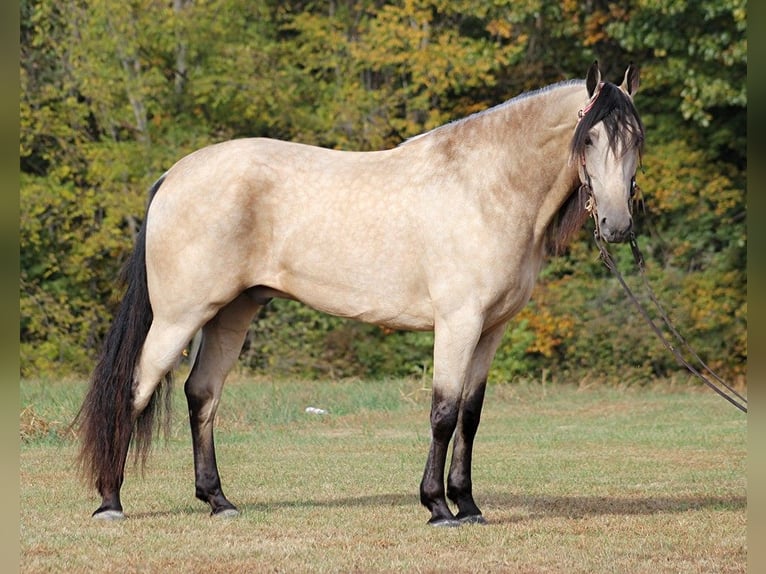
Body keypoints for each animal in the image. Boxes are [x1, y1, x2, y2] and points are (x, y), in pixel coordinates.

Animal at [76, 60, 640, 528]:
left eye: (637, 139)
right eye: (589, 139)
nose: (616, 226)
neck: (485, 187)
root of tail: (173, 176)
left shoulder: (491, 329)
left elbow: (471, 416)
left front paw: (469, 505)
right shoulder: (458, 322)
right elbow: (443, 413)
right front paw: (438, 508)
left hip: (232, 312)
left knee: (202, 394)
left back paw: (218, 501)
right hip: (179, 316)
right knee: (136, 387)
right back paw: (110, 502)